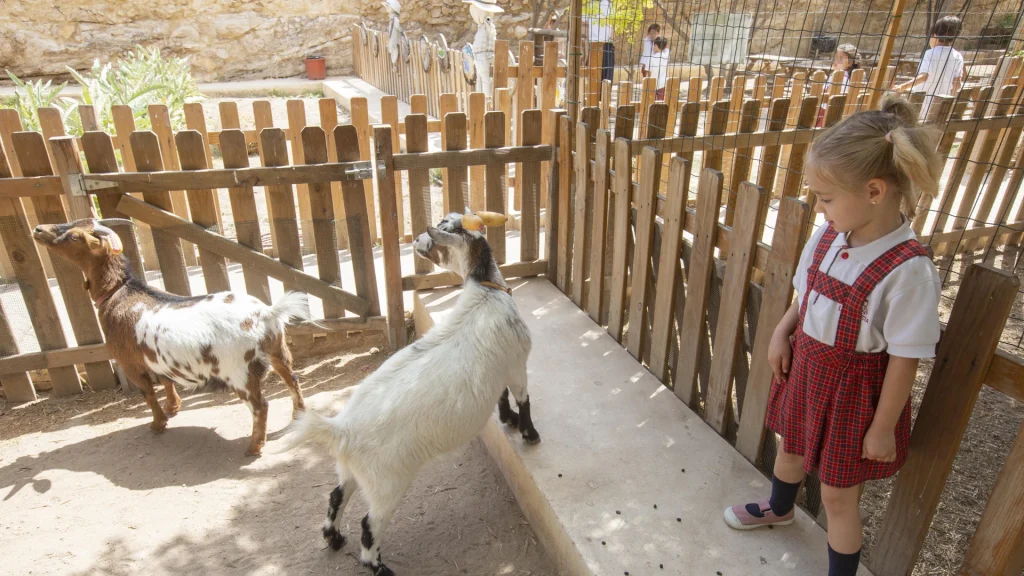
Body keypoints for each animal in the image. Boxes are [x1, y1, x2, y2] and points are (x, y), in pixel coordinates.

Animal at [33, 218, 308, 456]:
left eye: (74, 237)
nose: (38, 229)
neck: (120, 294)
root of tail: (266, 314)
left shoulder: (130, 363)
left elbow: (148, 393)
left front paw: (158, 424)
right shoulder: (158, 359)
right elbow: (166, 381)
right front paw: (173, 407)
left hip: (239, 372)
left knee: (261, 406)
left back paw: (254, 447)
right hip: (278, 351)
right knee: (292, 380)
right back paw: (298, 415)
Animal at [285, 211, 539, 576]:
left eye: (447, 225)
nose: (418, 240)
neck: (486, 294)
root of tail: (341, 430)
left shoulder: (503, 368)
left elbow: (502, 397)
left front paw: (508, 419)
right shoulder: (518, 363)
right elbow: (523, 398)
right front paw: (529, 434)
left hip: (350, 470)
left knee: (335, 497)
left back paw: (334, 539)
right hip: (387, 484)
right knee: (368, 524)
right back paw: (379, 567)